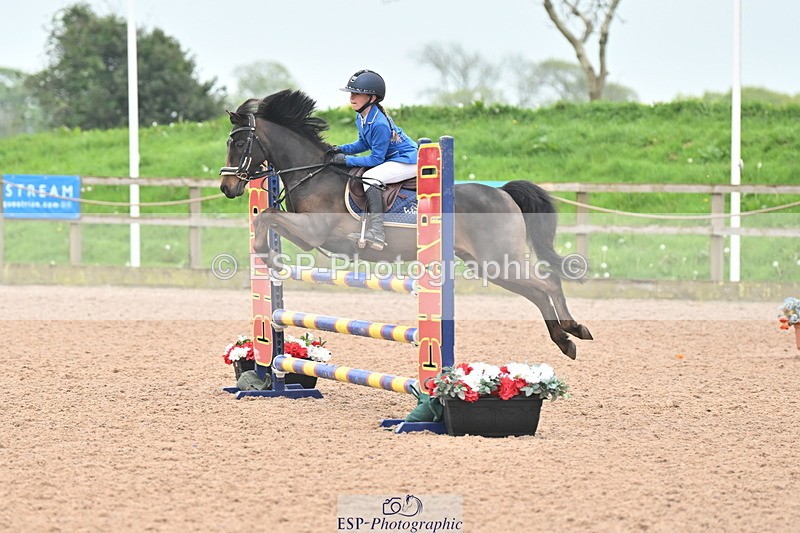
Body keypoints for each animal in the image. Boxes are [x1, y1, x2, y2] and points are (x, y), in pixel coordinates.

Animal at [219, 89, 593, 359]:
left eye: (238, 142)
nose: (227, 187)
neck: (311, 173)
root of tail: (502, 193)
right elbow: (268, 218)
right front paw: (271, 259)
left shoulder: (313, 232)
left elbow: (267, 217)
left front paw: (269, 258)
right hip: (489, 265)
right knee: (537, 292)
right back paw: (565, 340)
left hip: (498, 258)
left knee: (547, 283)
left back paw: (575, 328)